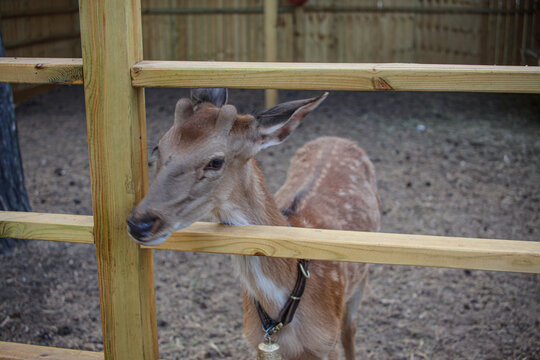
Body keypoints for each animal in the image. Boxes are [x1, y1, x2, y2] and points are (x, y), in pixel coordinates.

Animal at [126, 88, 380, 358]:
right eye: (158, 147)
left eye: (215, 161)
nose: (138, 224)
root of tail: (337, 138)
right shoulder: (257, 342)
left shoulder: (326, 344)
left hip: (359, 284)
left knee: (350, 329)